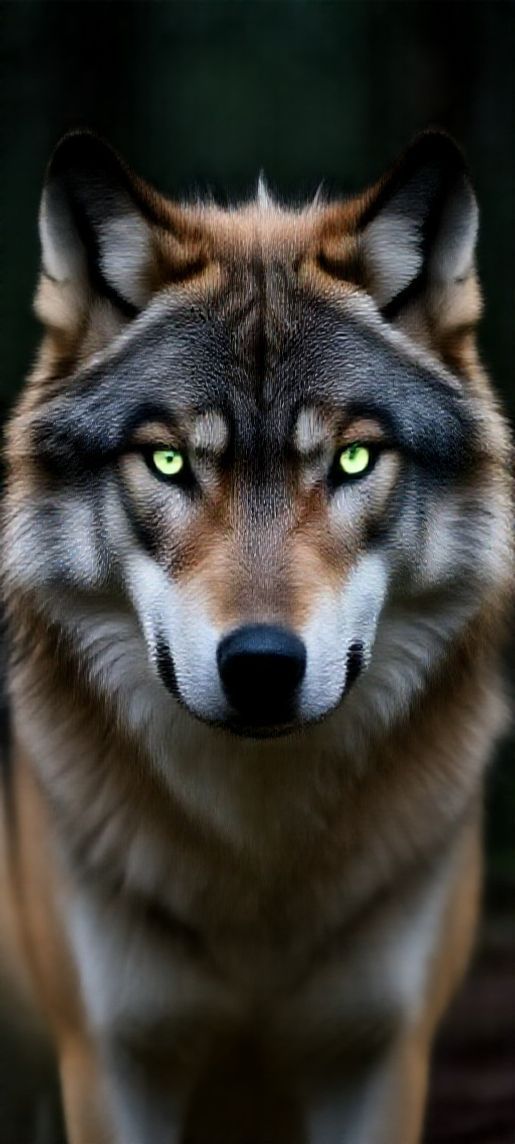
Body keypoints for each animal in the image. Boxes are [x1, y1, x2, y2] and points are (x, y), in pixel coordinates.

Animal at [0, 129, 512, 1144]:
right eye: (167, 459)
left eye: (352, 457)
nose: (263, 665)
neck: (257, 860)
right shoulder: (112, 1062)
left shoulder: (379, 1058)